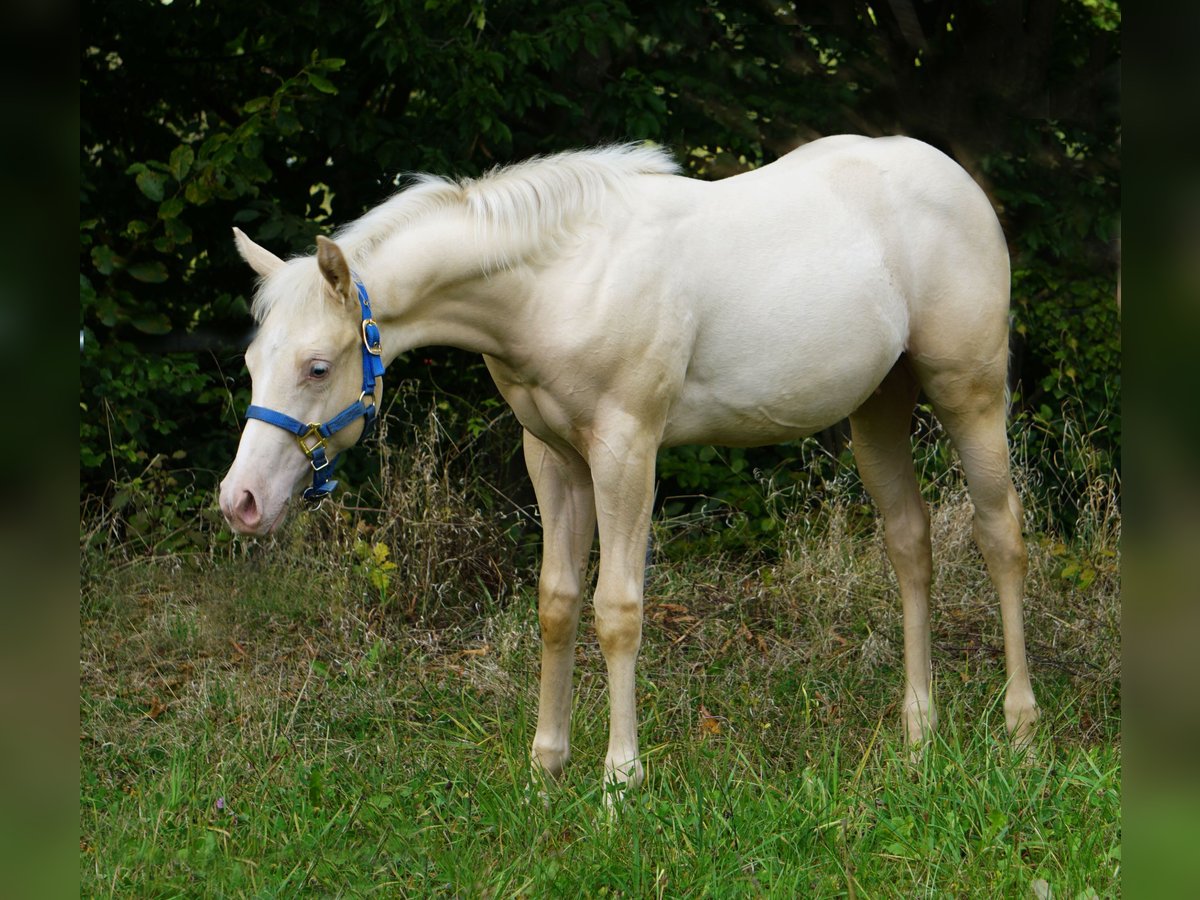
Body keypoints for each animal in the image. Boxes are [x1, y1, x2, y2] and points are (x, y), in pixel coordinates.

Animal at [218, 137, 1041, 801]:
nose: (241, 501)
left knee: (1001, 536)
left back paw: (1020, 725)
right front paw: (545, 772)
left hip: (970, 394)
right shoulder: (553, 458)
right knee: (910, 544)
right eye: (254, 362)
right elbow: (556, 604)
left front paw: (621, 782)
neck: (559, 279)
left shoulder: (626, 451)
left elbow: (617, 610)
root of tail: (956, 179)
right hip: (877, 409)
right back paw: (919, 731)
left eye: (317, 367)